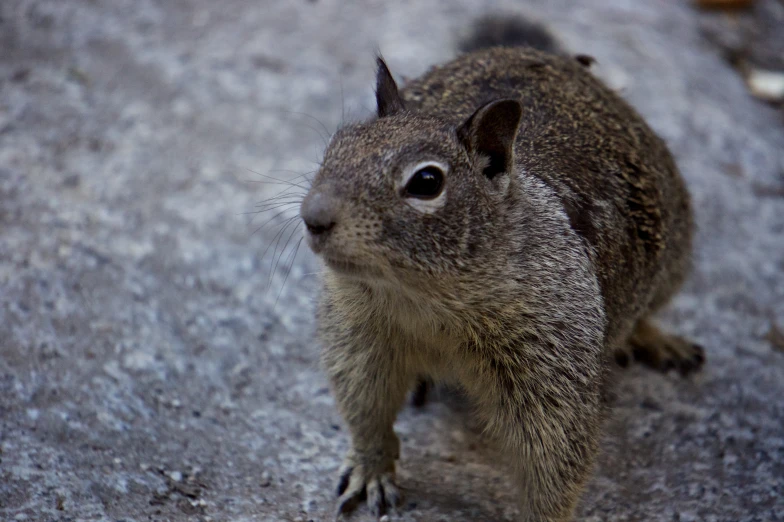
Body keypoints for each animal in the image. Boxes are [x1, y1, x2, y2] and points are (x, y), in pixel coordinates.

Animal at [298, 15, 704, 520]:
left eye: (426, 182)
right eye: (337, 145)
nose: (312, 217)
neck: (425, 300)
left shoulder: (552, 368)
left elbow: (555, 458)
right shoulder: (358, 336)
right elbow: (365, 406)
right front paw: (371, 470)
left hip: (674, 258)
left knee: (647, 313)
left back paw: (658, 342)